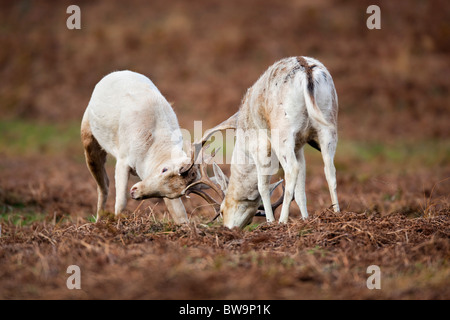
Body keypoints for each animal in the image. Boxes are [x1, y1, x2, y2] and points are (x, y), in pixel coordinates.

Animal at [80, 71, 199, 224]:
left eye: (173, 194)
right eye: (164, 169)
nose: (135, 191)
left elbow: (179, 213)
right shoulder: (123, 159)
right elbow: (121, 201)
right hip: (88, 138)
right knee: (103, 185)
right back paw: (98, 221)